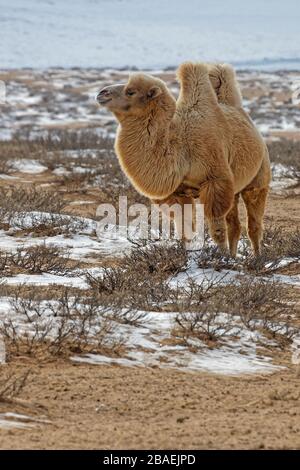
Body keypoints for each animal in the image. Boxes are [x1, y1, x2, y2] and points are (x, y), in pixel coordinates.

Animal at [97, 63, 270, 258]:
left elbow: (217, 229)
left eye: (130, 91)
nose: (102, 93)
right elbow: (184, 229)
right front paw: (186, 256)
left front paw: (222, 258)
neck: (181, 148)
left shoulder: (215, 182)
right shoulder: (178, 192)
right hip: (234, 188)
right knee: (234, 224)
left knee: (253, 223)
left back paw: (257, 258)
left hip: (258, 179)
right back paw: (235, 256)